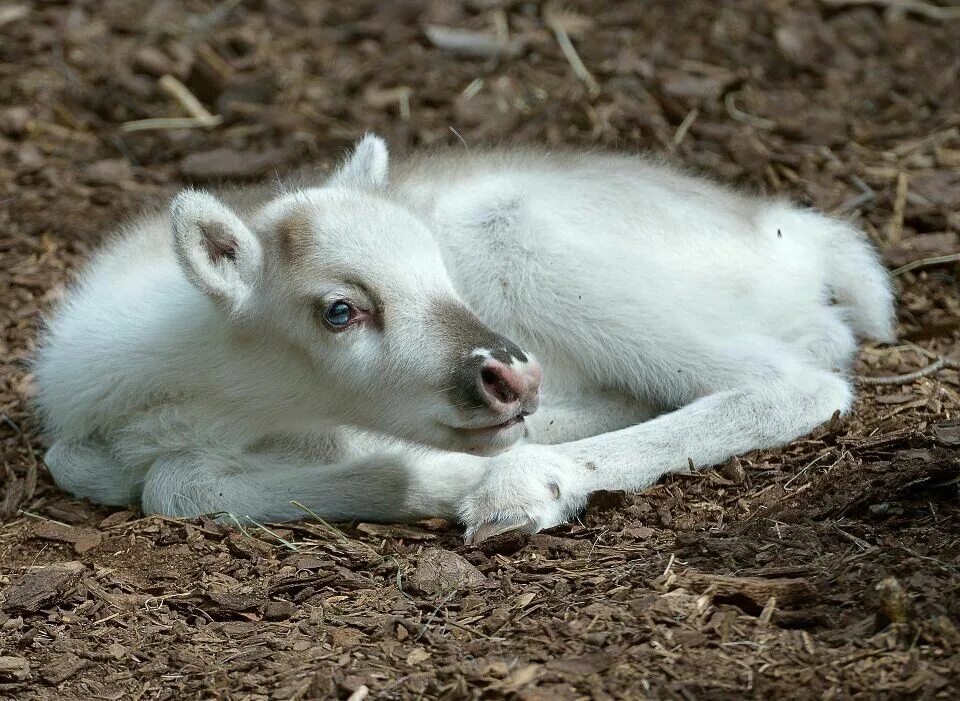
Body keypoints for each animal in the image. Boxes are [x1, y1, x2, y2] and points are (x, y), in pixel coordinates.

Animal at [35, 138, 892, 540]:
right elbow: (137, 475)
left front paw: (444, 479)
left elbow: (168, 483)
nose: (511, 376)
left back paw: (525, 484)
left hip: (535, 245)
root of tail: (794, 236)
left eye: (437, 268)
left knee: (796, 377)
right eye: (340, 310)